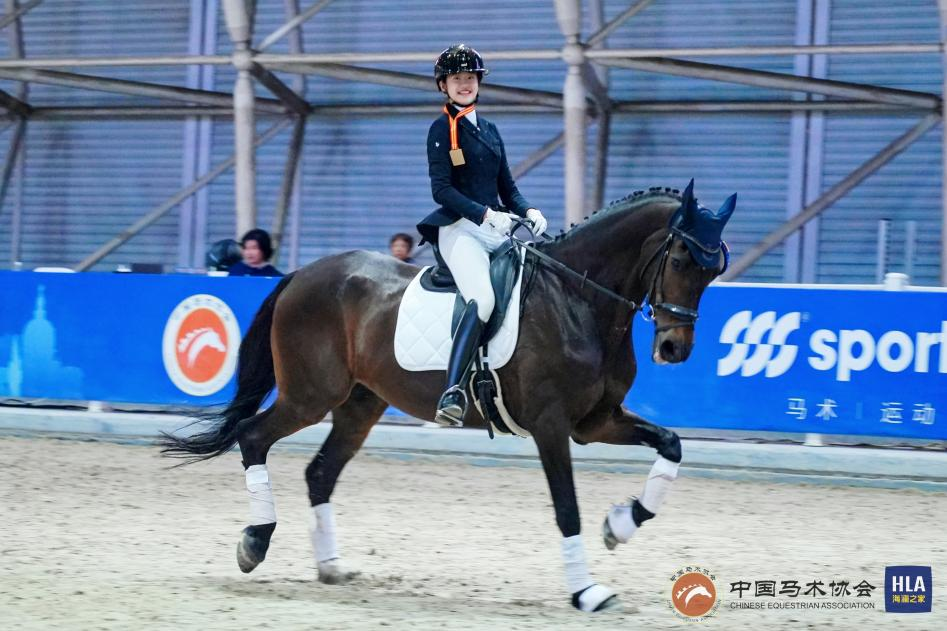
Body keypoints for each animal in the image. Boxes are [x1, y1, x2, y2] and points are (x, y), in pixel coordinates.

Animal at [160, 181, 736, 613]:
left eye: (714, 270)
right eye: (681, 259)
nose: (674, 348)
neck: (578, 299)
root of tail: (303, 273)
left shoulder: (595, 422)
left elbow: (671, 445)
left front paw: (620, 525)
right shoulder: (552, 426)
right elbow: (566, 508)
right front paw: (588, 592)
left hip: (359, 405)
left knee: (319, 472)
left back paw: (331, 566)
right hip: (310, 395)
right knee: (252, 436)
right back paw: (254, 542)